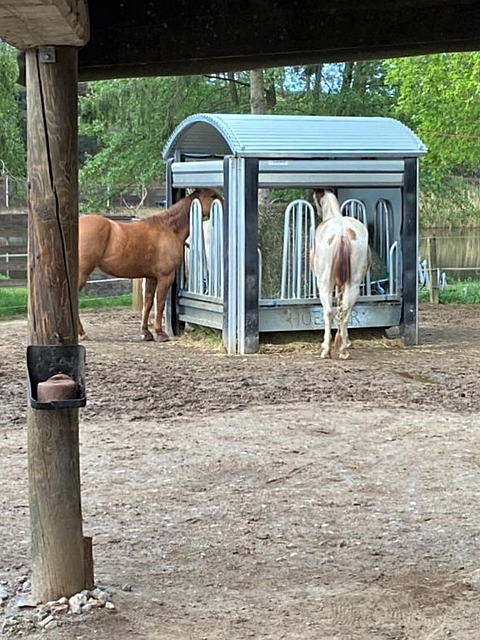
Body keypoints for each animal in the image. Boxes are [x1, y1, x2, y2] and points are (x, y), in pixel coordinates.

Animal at [78, 188, 221, 342]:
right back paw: (82, 333)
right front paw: (160, 333)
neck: (169, 229)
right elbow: (160, 303)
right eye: (212, 196)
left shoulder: (151, 277)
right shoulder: (165, 277)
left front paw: (146, 333)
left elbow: (148, 303)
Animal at [310, 189, 371, 360]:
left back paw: (326, 349)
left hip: (324, 283)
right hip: (353, 283)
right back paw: (343, 349)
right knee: (345, 310)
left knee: (328, 311)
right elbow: (341, 304)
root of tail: (342, 233)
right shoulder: (342, 284)